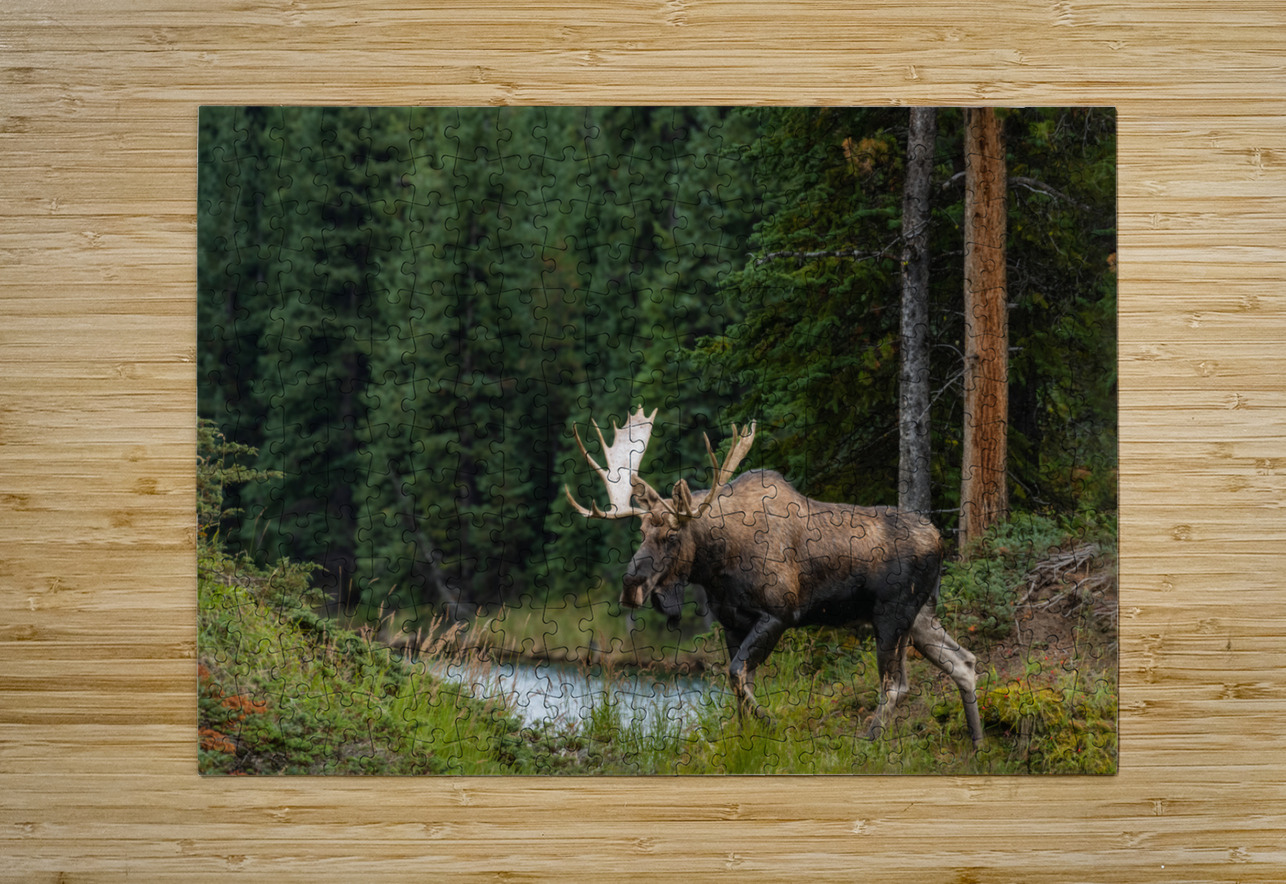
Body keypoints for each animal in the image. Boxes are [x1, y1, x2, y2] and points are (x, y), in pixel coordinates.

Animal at [565, 405, 984, 749]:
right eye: (640, 532)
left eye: (671, 535)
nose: (630, 585)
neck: (716, 565)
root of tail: (939, 540)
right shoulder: (731, 623)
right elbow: (739, 686)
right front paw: (747, 739)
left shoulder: (780, 613)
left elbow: (737, 676)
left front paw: (771, 724)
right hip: (921, 615)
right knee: (965, 663)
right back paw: (977, 744)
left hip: (892, 615)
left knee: (896, 684)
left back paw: (869, 740)